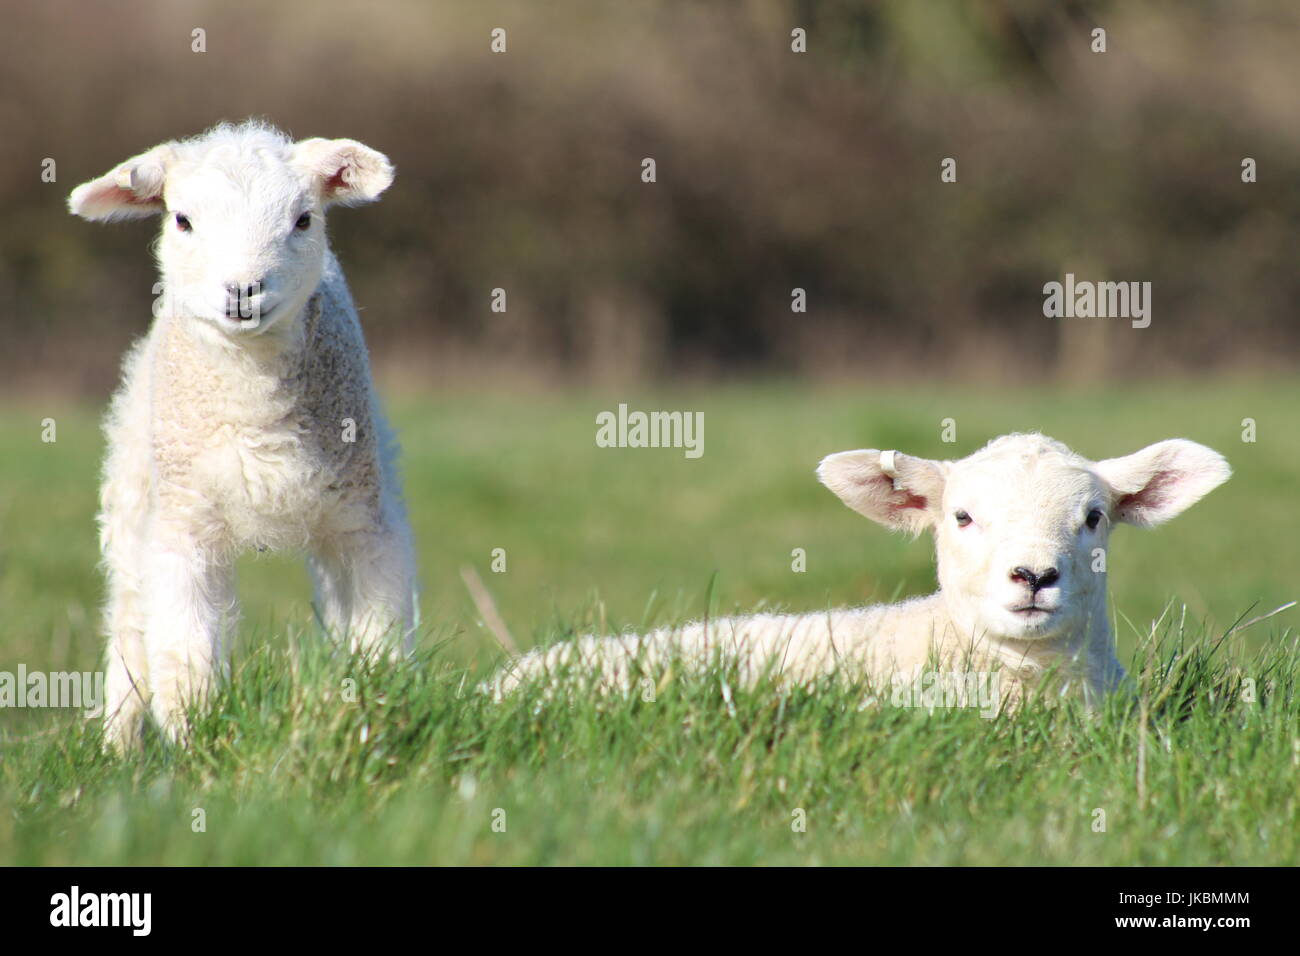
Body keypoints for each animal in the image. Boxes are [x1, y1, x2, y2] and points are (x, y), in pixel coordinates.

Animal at [68, 121, 416, 748]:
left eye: (303, 219)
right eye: (182, 220)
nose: (242, 292)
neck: (256, 407)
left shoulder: (366, 523)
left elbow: (377, 638)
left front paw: (369, 716)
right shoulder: (184, 526)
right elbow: (185, 655)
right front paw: (194, 748)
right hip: (133, 493)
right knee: (129, 623)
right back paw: (118, 745)